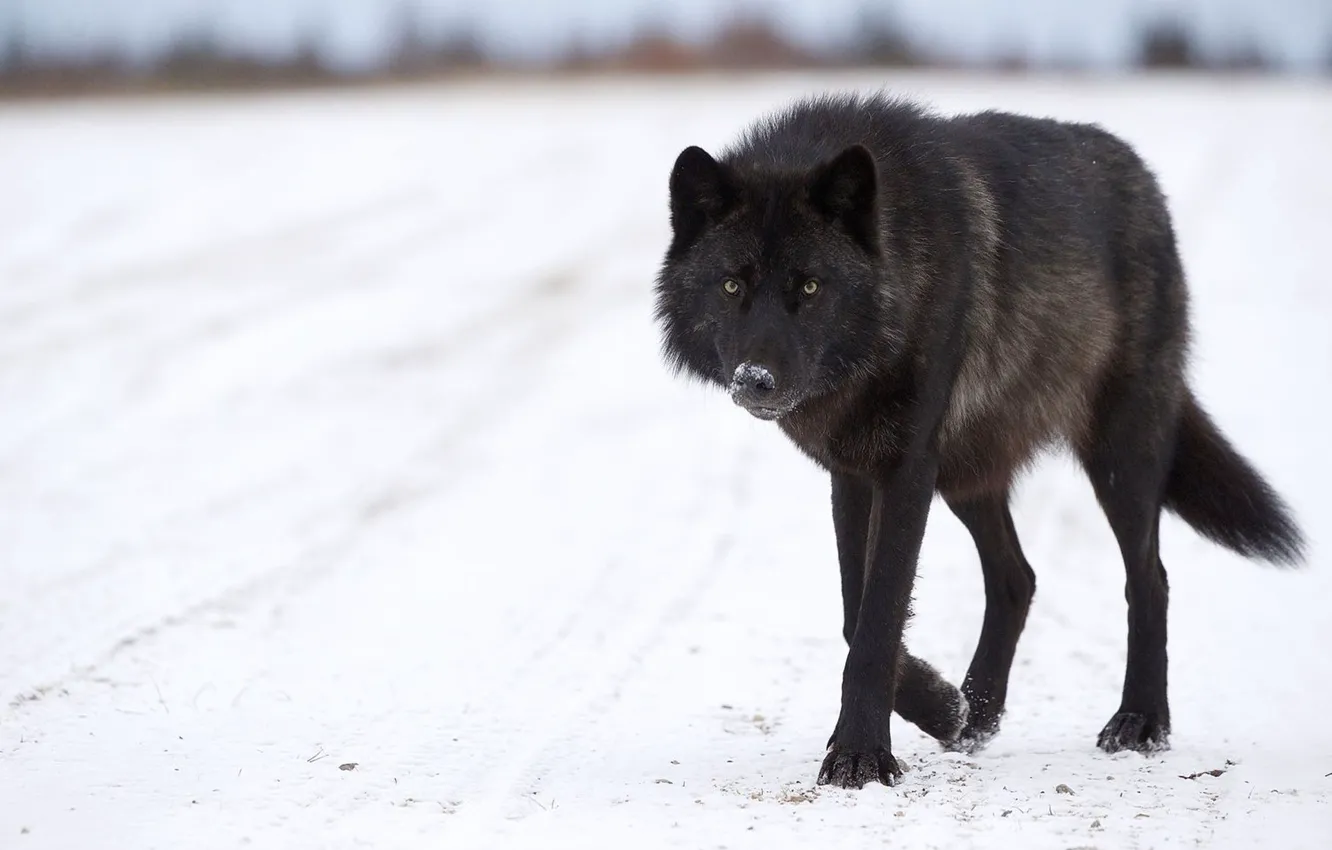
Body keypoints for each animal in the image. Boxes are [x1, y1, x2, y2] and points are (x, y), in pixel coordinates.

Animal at [653, 93, 1304, 789]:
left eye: (808, 286)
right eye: (731, 285)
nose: (757, 380)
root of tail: (1141, 176)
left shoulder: (907, 467)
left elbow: (878, 616)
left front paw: (861, 755)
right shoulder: (854, 471)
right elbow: (857, 613)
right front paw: (943, 708)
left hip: (1118, 457)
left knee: (1148, 577)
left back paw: (1141, 722)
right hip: (968, 473)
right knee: (1018, 578)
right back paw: (977, 715)